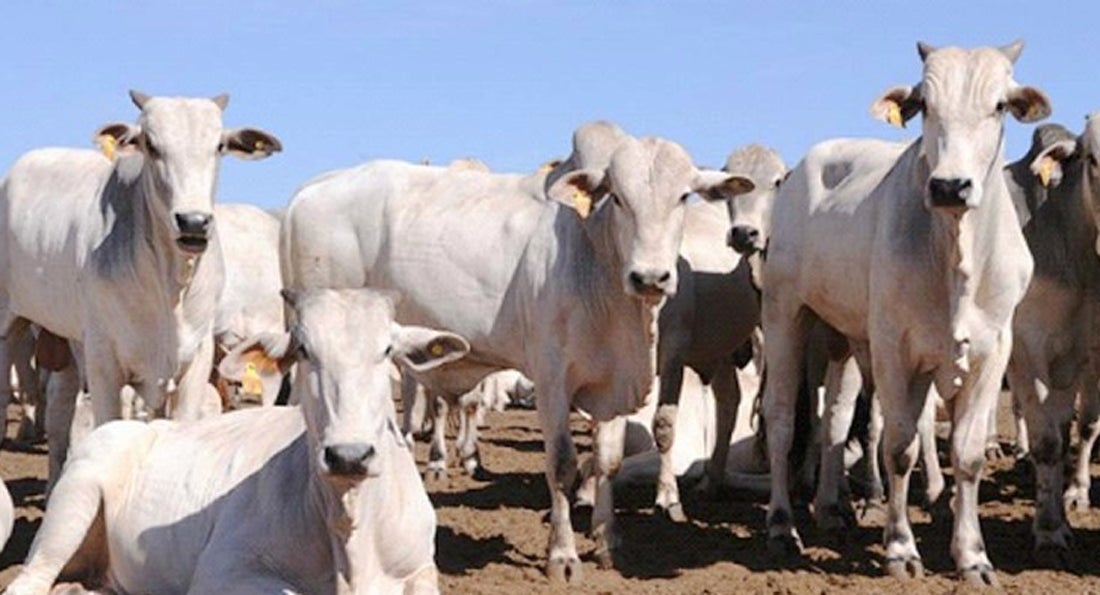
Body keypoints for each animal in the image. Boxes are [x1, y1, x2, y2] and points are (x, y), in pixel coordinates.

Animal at [0, 91, 281, 481]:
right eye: (151, 145)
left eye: (219, 146)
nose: (193, 222)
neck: (170, 285)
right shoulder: (104, 359)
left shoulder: (195, 358)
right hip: (12, 321)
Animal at [5, 288, 461, 594]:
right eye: (304, 351)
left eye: (386, 350)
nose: (349, 455)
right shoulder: (222, 572)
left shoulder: (421, 568)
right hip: (72, 503)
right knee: (29, 580)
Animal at [282, 121, 754, 583]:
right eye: (618, 198)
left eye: (683, 197)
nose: (650, 277)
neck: (593, 257)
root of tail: (308, 191)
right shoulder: (551, 380)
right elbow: (562, 466)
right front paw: (563, 556)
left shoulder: (612, 383)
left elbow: (608, 461)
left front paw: (606, 540)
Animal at [650, 144, 785, 522]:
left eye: (778, 181)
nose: (743, 234)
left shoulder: (673, 351)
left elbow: (663, 423)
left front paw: (668, 497)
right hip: (720, 349)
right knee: (728, 402)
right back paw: (712, 480)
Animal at [760, 41, 1048, 585]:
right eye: (925, 105)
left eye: (1000, 105)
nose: (950, 186)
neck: (956, 256)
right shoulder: (895, 346)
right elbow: (899, 446)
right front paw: (899, 548)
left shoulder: (992, 351)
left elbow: (967, 455)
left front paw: (972, 556)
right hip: (785, 312)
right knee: (783, 419)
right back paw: (783, 525)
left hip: (842, 337)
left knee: (833, 420)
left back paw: (830, 509)